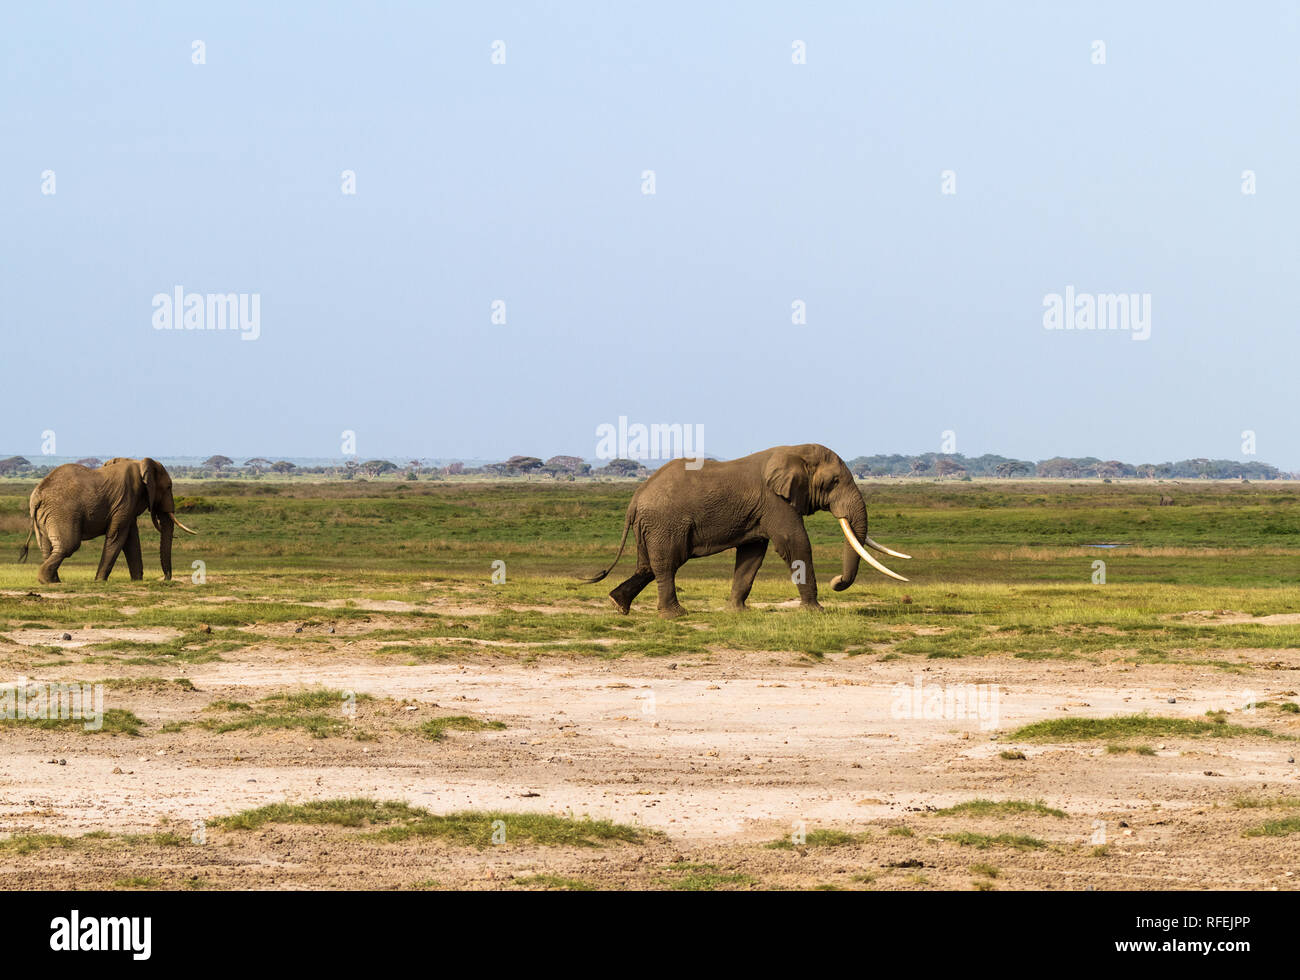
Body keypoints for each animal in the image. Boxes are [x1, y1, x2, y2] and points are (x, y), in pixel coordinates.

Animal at [17, 457, 196, 584]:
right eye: (168, 487)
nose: (166, 579)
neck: (140, 464)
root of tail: (37, 495)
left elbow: (131, 539)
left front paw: (137, 581)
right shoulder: (126, 498)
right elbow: (118, 535)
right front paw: (100, 581)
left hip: (44, 516)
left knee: (47, 547)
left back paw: (54, 580)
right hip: (62, 513)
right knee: (68, 546)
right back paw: (47, 581)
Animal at [585, 441, 909, 613]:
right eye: (834, 482)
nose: (836, 581)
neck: (794, 450)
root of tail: (635, 498)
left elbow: (752, 554)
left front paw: (737, 611)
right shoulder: (775, 501)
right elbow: (795, 543)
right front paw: (815, 611)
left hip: (650, 526)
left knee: (647, 565)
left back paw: (618, 604)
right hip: (665, 523)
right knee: (666, 563)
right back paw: (674, 615)